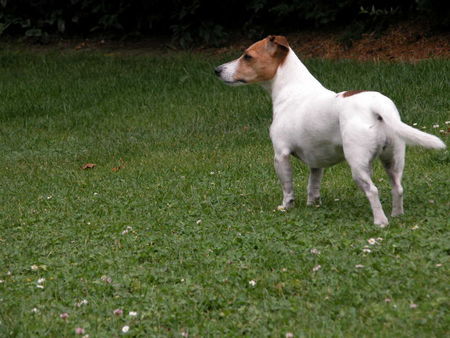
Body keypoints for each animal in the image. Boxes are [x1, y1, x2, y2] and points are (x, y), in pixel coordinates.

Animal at [215, 35, 446, 226]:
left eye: (247, 56)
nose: (217, 70)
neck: (291, 90)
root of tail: (378, 105)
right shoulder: (316, 161)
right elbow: (313, 186)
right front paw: (312, 205)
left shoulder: (280, 155)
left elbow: (287, 187)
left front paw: (286, 207)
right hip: (393, 159)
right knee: (397, 187)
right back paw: (397, 215)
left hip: (357, 163)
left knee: (372, 191)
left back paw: (381, 222)